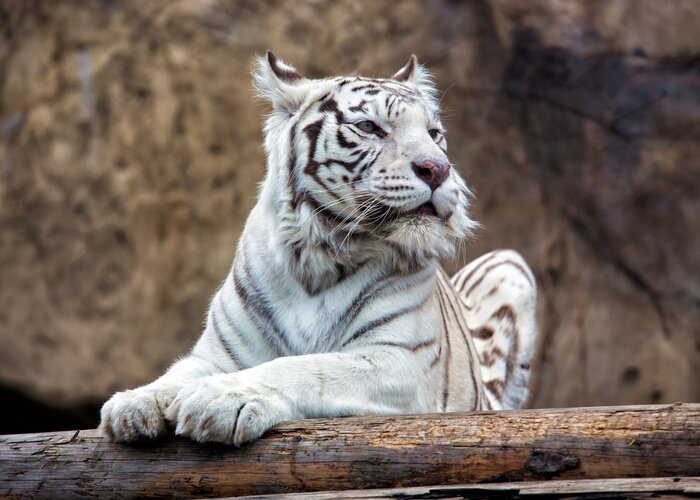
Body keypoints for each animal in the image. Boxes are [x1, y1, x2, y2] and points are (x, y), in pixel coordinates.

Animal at [99, 52, 539, 446]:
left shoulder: (402, 360)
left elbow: (304, 367)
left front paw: (220, 398)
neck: (317, 258)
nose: (439, 170)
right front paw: (135, 402)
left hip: (510, 264)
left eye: (434, 134)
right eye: (369, 126)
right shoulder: (216, 355)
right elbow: (177, 374)